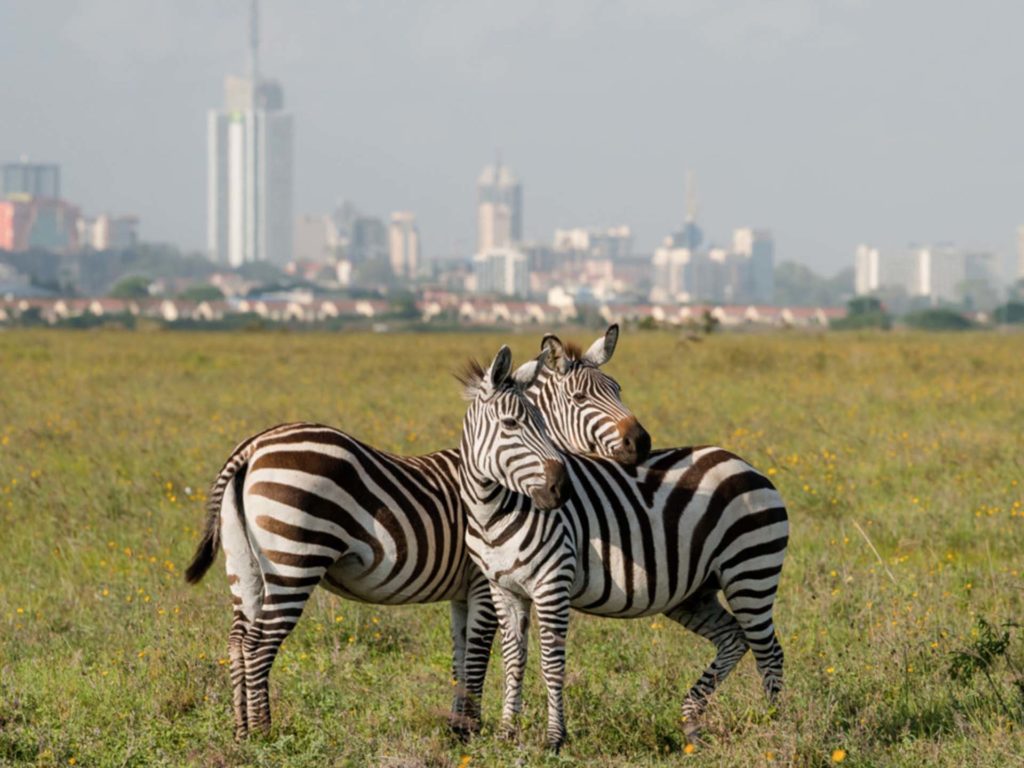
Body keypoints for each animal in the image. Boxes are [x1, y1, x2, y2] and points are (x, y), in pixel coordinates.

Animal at [185, 325, 643, 741]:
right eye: (581, 398)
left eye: (618, 389)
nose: (641, 441)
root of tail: (252, 446)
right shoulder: (483, 582)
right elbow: (478, 654)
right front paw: (470, 729)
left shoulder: (463, 591)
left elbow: (461, 655)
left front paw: (459, 727)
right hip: (294, 561)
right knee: (259, 644)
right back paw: (264, 733)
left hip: (244, 565)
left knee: (238, 640)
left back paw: (241, 731)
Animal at [460, 364, 786, 753]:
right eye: (510, 424)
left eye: (542, 423)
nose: (561, 490)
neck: (493, 512)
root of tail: (745, 464)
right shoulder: (504, 589)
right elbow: (513, 660)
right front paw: (507, 733)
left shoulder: (552, 583)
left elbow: (551, 663)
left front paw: (555, 738)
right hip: (694, 593)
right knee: (734, 638)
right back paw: (692, 722)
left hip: (751, 571)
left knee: (769, 652)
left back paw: (777, 729)